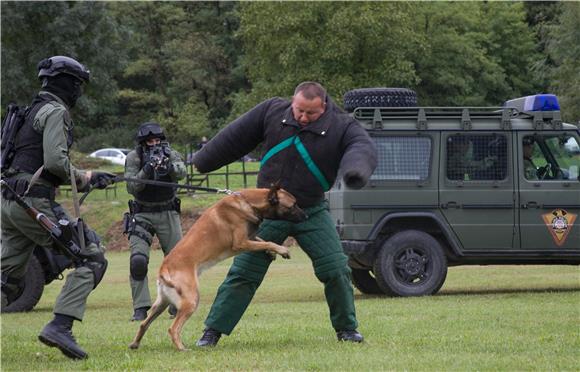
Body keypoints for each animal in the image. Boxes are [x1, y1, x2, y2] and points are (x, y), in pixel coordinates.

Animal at [129, 186, 306, 352]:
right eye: (293, 205)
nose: (306, 217)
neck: (248, 203)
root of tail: (164, 269)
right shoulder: (241, 243)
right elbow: (267, 241)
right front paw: (282, 249)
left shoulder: (250, 237)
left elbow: (263, 240)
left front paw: (273, 252)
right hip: (191, 300)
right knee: (173, 328)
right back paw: (182, 348)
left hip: (162, 303)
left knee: (144, 324)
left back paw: (135, 344)